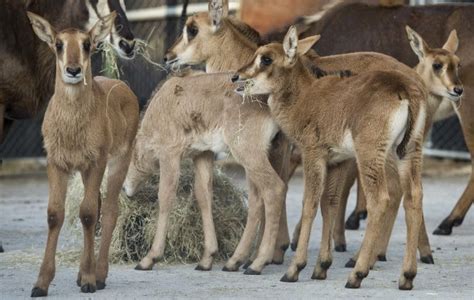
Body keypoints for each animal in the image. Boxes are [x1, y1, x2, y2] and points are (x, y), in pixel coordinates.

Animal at [27, 12, 139, 298]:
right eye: (58, 44)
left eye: (87, 44)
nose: (74, 70)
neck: (72, 124)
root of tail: (123, 87)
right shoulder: (57, 163)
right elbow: (55, 214)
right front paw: (41, 283)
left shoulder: (96, 162)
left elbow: (88, 213)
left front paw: (89, 280)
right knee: (98, 208)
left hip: (118, 161)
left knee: (108, 210)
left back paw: (99, 275)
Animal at [235, 27, 428, 290]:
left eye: (266, 59)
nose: (235, 77)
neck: (304, 96)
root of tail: (403, 88)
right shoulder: (337, 161)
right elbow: (330, 204)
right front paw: (321, 267)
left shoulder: (312, 154)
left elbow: (309, 204)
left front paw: (295, 269)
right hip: (409, 152)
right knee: (413, 197)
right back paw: (407, 276)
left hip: (371, 154)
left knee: (380, 199)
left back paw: (357, 274)